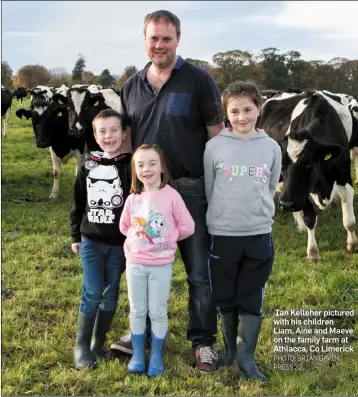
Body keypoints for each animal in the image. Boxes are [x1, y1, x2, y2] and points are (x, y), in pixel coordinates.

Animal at [258, 91, 356, 262]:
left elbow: (349, 221)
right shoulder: (302, 191)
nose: (286, 204)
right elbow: (310, 218)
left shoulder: (344, 177)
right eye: (282, 166)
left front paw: (352, 245)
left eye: (309, 165)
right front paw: (312, 252)